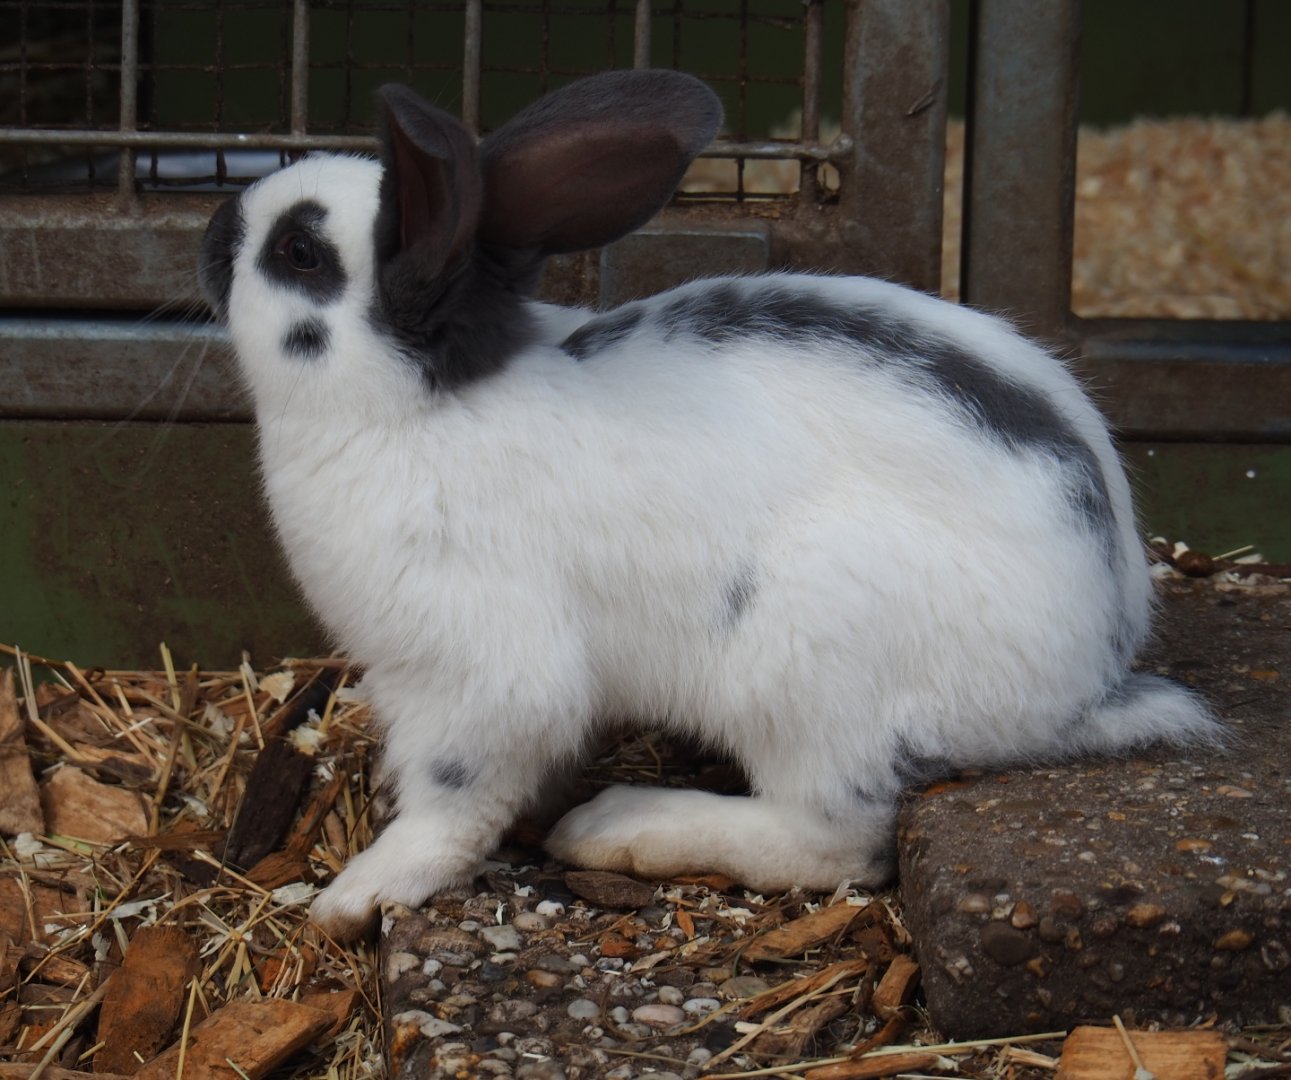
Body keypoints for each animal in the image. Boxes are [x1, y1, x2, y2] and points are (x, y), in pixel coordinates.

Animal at [198, 69, 1219, 941]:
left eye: (298, 251)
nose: (213, 225)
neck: (417, 405)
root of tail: (1089, 678)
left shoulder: (480, 677)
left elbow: (453, 804)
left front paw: (357, 893)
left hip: (805, 665)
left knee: (834, 840)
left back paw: (622, 826)